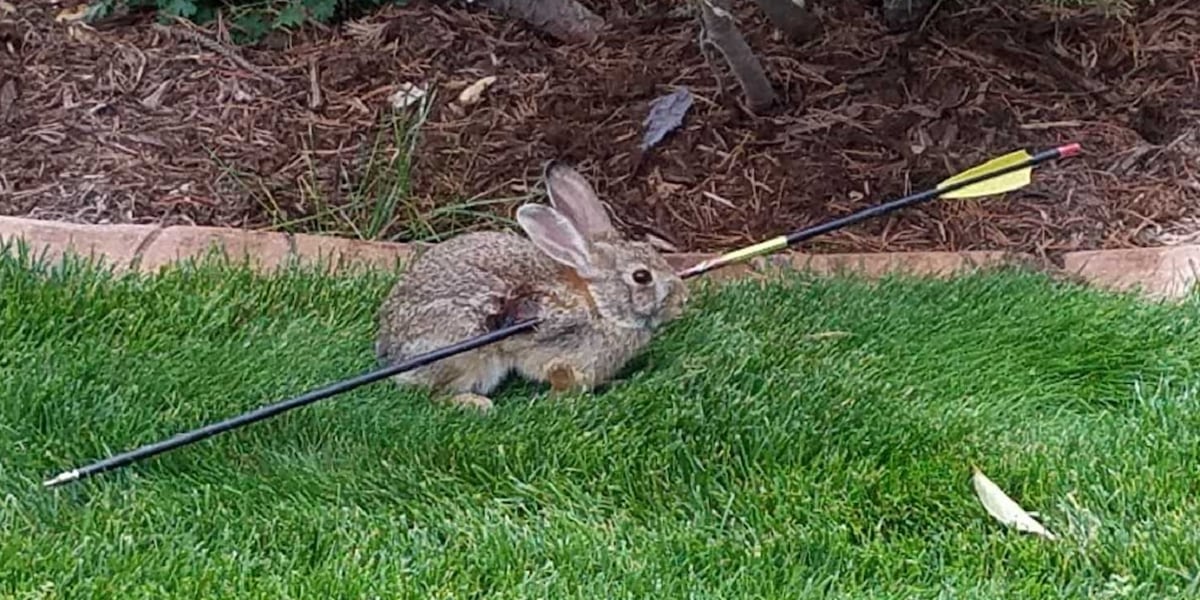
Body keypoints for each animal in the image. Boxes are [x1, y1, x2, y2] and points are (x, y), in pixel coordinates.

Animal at [374, 162, 690, 411]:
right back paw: (476, 404)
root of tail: (393, 354)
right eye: (642, 276)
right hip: (467, 354)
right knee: (435, 394)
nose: (682, 300)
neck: (599, 304)